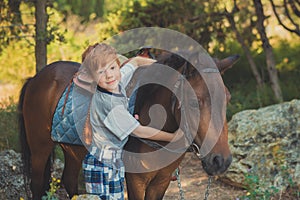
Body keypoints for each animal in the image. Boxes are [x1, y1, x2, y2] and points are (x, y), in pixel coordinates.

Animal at [18, 49, 239, 199]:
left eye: (227, 99)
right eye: (194, 102)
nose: (221, 160)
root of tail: (36, 78)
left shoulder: (161, 181)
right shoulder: (136, 181)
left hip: (72, 151)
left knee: (70, 182)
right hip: (39, 149)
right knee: (37, 184)